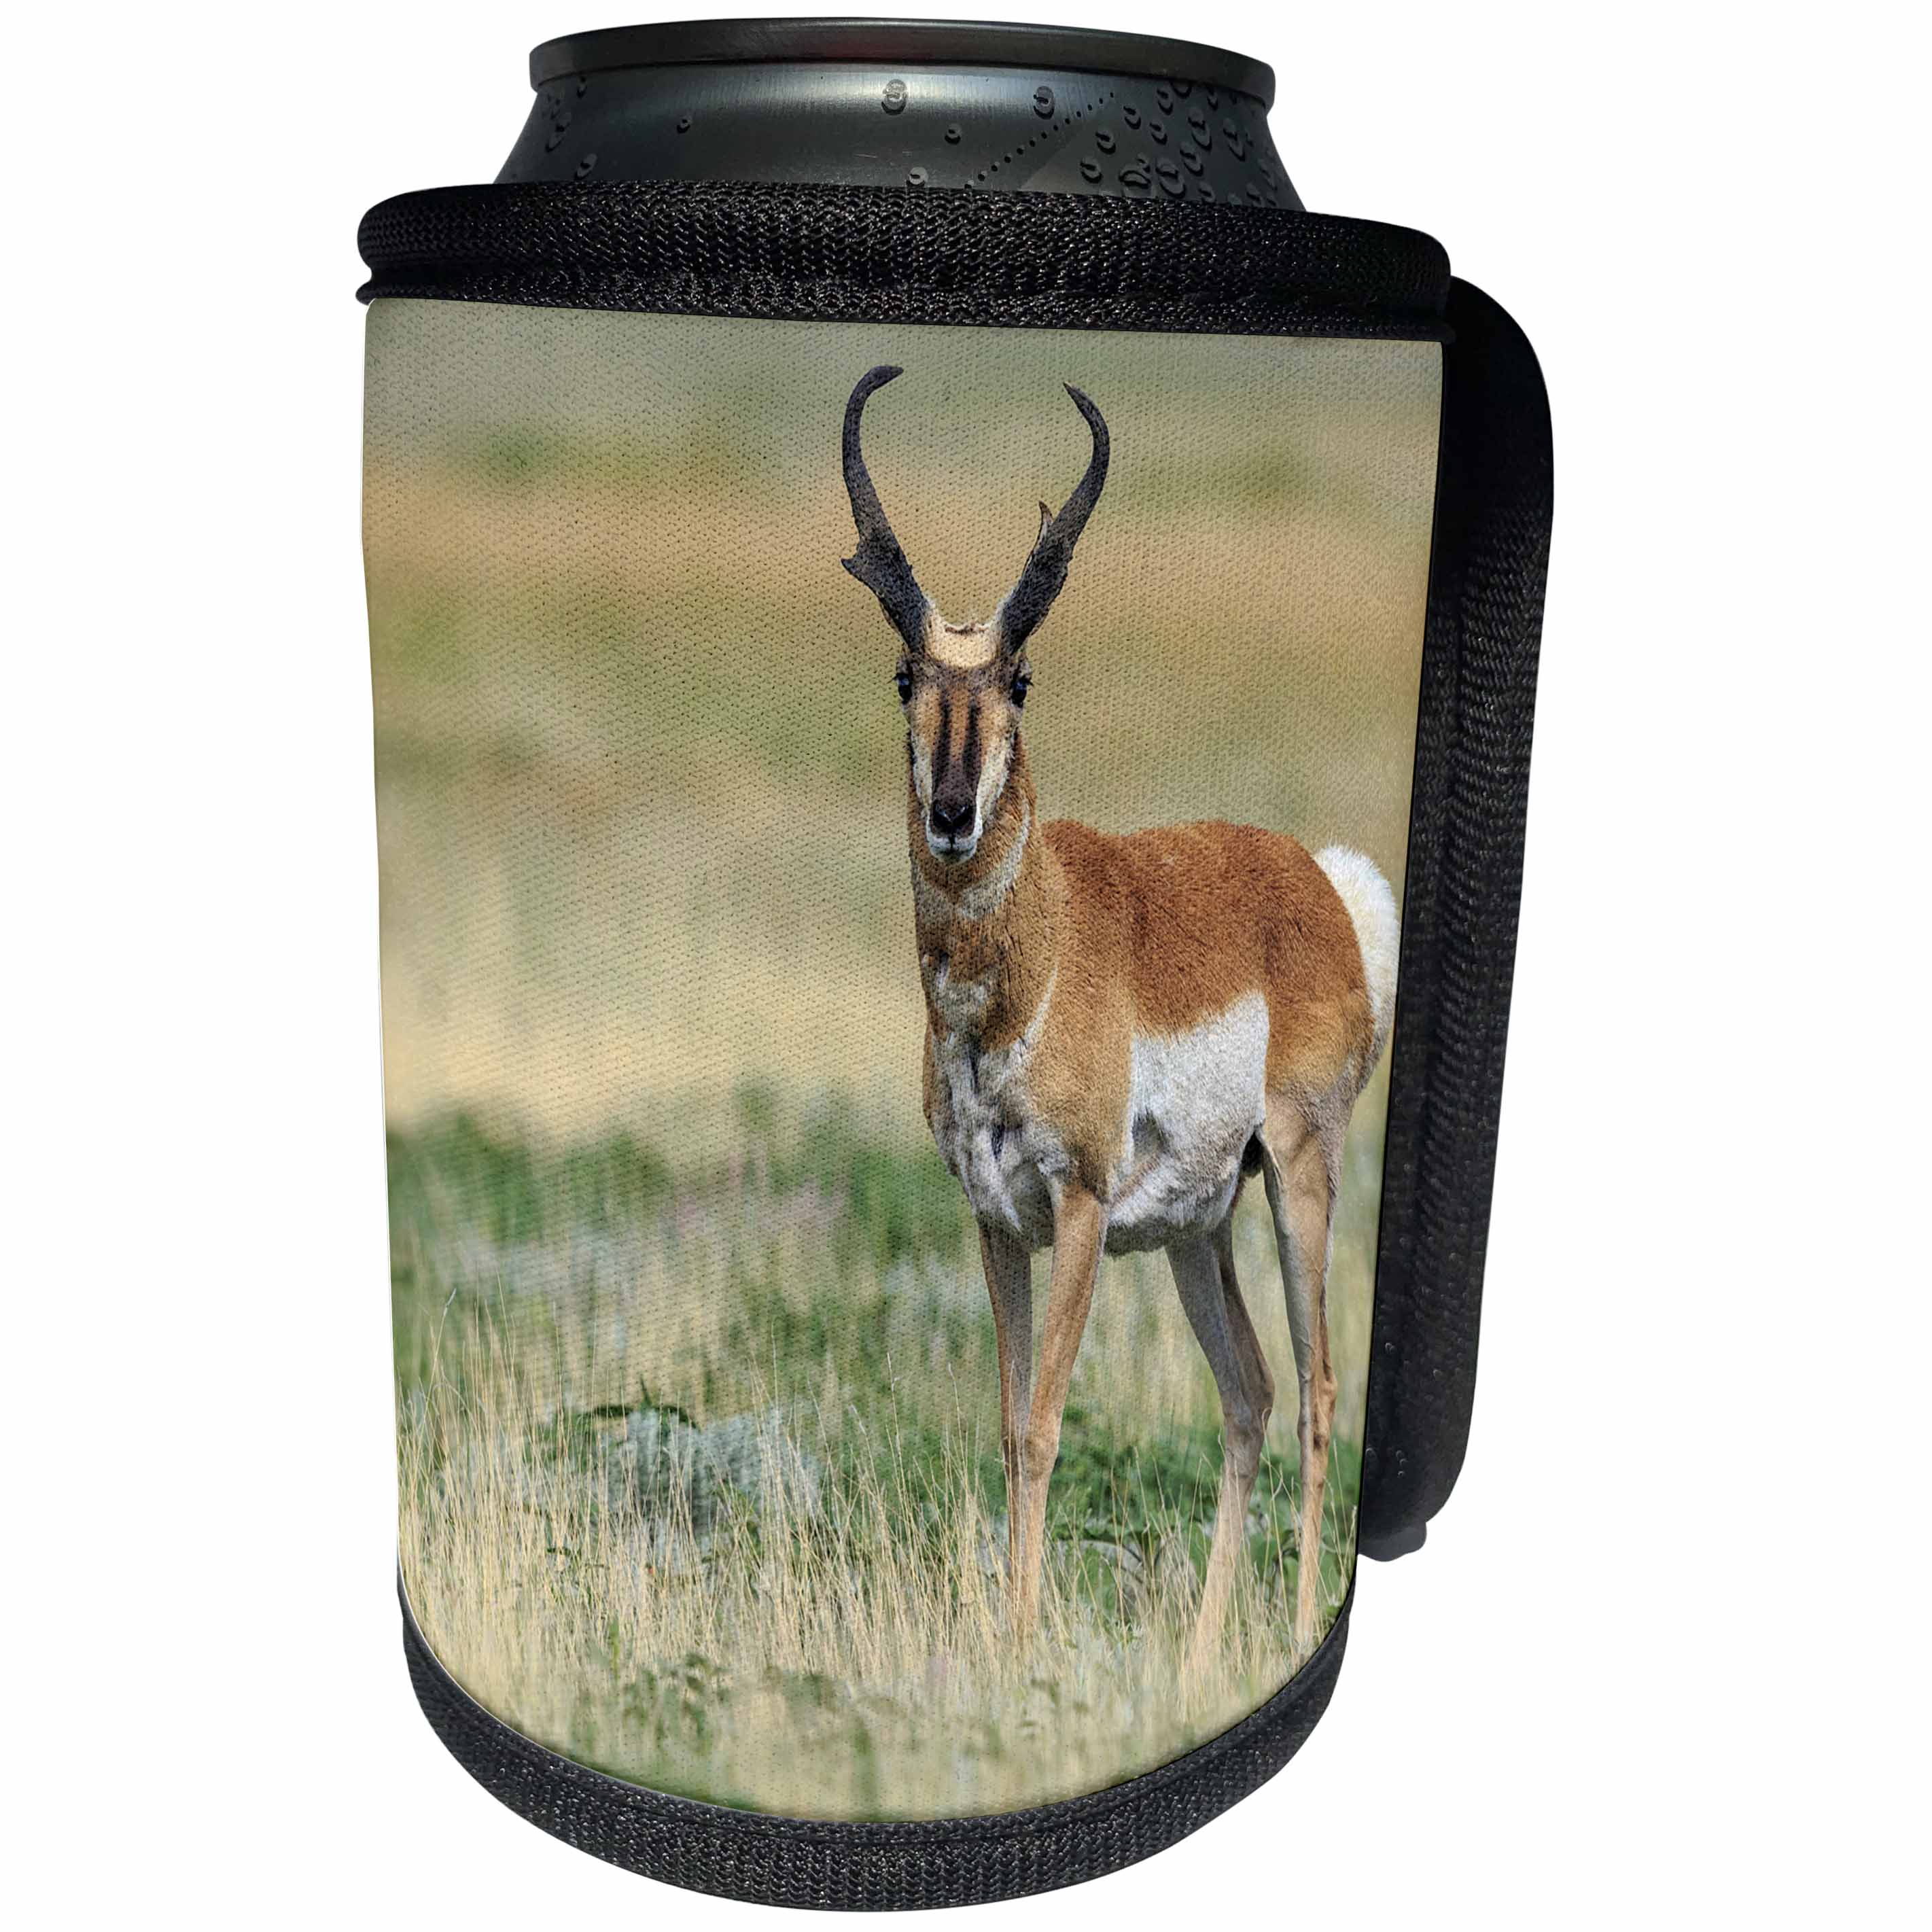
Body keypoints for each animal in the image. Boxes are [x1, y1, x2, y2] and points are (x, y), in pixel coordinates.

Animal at [839, 365, 1400, 1652]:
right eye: (905, 678)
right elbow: (1007, 1425)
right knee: (1248, 1391)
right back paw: (1195, 1658)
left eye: (1017, 680)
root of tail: (1318, 882)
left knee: (1315, 1391)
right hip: (1200, 1228)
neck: (1026, 971)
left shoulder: (1082, 1209)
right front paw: (1007, 1631)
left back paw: (1295, 1624)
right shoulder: (995, 1220)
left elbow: (1046, 1425)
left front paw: (1017, 1641)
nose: (951, 812)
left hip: (1297, 1181)